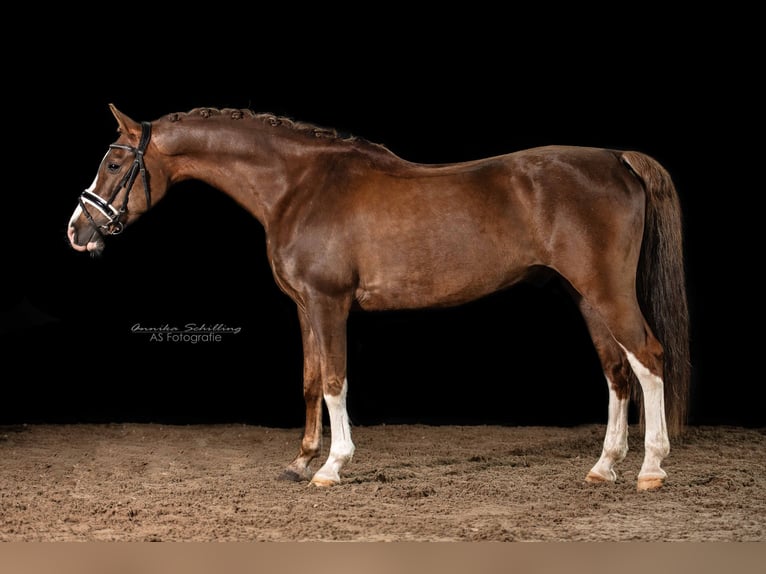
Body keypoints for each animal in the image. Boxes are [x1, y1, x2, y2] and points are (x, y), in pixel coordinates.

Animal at [66, 103, 692, 490]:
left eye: (115, 161)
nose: (76, 230)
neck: (298, 186)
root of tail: (617, 158)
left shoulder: (329, 303)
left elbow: (336, 380)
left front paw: (331, 467)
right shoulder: (304, 306)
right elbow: (310, 380)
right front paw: (300, 462)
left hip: (608, 293)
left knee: (649, 358)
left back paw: (652, 468)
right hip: (586, 297)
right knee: (616, 372)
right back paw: (604, 466)